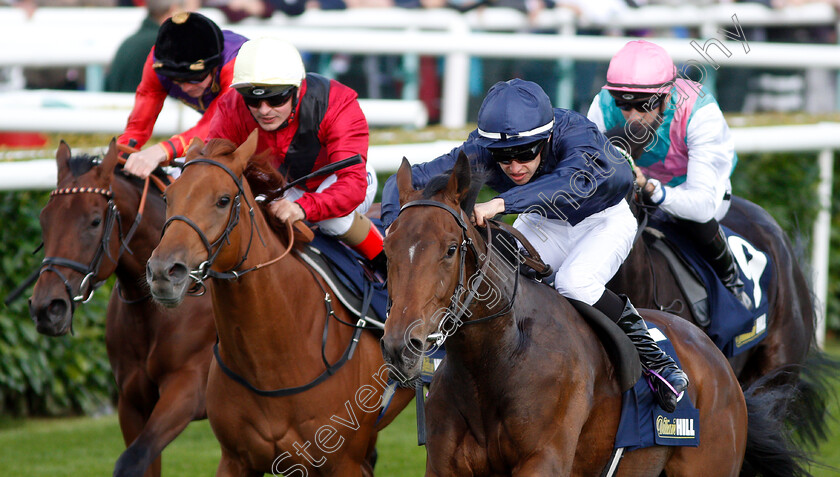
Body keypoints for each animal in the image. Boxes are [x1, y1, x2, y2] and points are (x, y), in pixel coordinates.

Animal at [28, 140, 217, 476]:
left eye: (94, 220)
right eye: (43, 219)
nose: (47, 308)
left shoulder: (189, 388)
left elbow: (133, 458)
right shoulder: (132, 402)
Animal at [378, 154, 808, 474]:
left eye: (451, 249)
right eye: (388, 249)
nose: (402, 344)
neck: (496, 359)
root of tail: (716, 362)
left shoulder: (543, 461)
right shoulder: (444, 465)